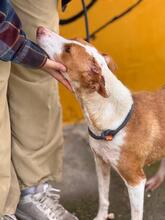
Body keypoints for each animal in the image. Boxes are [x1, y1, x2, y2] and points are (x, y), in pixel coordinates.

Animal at [37, 27, 165, 220]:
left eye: (68, 50)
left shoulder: (135, 180)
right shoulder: (101, 163)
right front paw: (101, 216)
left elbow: (135, 213)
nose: (40, 29)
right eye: (74, 38)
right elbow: (103, 197)